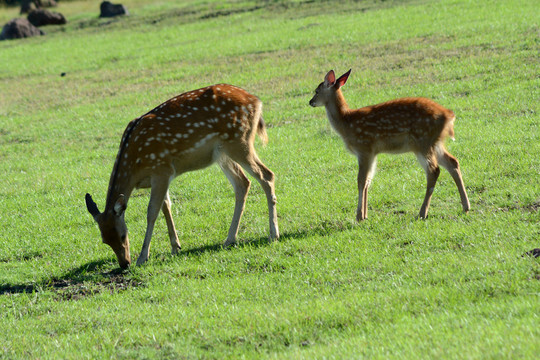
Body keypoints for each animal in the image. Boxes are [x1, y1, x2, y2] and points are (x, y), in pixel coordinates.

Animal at [86, 84, 280, 268]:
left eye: (123, 234)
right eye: (104, 240)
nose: (125, 264)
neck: (134, 167)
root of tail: (256, 101)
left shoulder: (161, 168)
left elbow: (152, 212)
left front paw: (143, 257)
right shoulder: (161, 175)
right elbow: (166, 206)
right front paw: (175, 247)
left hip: (239, 141)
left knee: (267, 175)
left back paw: (273, 234)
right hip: (222, 153)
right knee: (242, 183)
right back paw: (230, 239)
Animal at [310, 69, 470, 221]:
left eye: (316, 91)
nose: (310, 102)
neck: (346, 123)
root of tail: (448, 115)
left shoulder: (364, 147)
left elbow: (361, 180)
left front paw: (359, 216)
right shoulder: (372, 152)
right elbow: (368, 180)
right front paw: (365, 215)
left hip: (422, 141)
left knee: (434, 170)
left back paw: (422, 213)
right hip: (434, 143)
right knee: (452, 162)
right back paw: (466, 206)